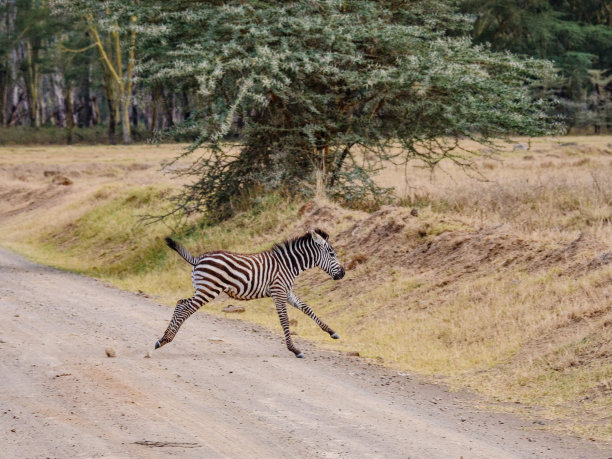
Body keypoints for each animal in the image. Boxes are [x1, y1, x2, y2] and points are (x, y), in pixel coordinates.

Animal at [154, 230, 344, 360]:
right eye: (332, 253)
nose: (343, 273)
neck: (288, 265)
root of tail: (198, 259)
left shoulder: (287, 292)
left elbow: (307, 308)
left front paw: (332, 332)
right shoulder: (278, 292)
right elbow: (285, 319)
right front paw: (294, 349)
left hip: (202, 289)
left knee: (180, 303)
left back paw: (162, 339)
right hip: (208, 290)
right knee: (185, 308)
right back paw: (165, 340)